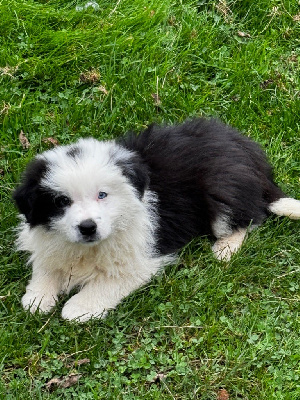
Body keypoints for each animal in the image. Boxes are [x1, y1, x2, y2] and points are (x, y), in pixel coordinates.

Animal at [14, 119, 300, 322]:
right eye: (62, 201)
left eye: (102, 195)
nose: (88, 227)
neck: (90, 247)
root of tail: (252, 156)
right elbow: (46, 265)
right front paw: (38, 297)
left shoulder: (141, 259)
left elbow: (110, 282)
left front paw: (80, 307)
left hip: (222, 189)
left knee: (249, 217)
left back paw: (225, 249)